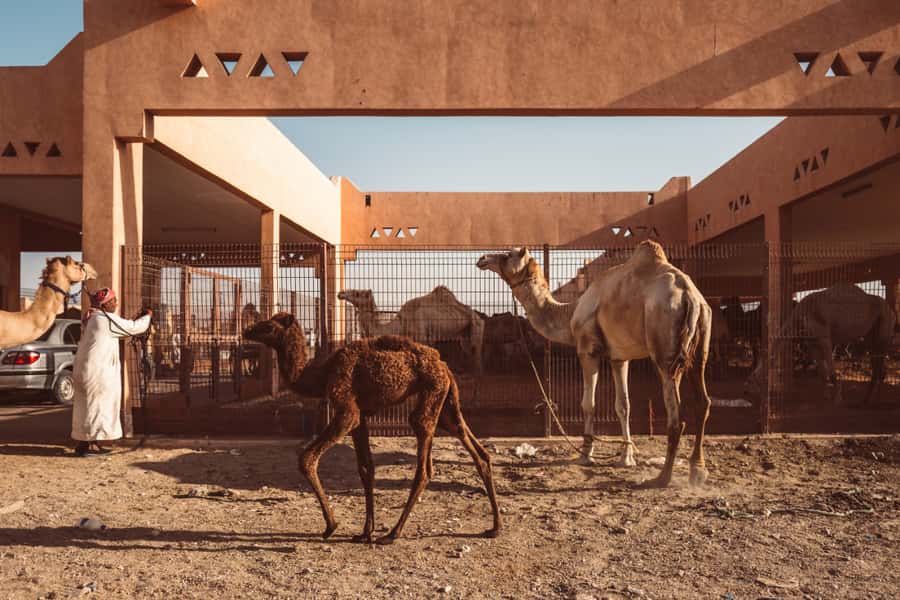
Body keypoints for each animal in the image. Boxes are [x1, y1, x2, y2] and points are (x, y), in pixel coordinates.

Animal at [243, 312, 501, 544]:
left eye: (268, 326)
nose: (247, 330)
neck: (322, 375)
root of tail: (444, 365)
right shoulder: (362, 417)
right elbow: (366, 469)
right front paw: (365, 531)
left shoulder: (347, 411)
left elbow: (306, 459)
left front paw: (331, 526)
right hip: (446, 401)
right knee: (473, 446)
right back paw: (494, 527)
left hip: (431, 393)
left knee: (425, 464)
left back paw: (393, 533)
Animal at [338, 286, 485, 373]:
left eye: (357, 293)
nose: (341, 293)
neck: (401, 323)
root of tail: (479, 316)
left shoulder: (422, 337)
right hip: (464, 336)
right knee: (469, 353)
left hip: (476, 328)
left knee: (477, 356)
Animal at [477, 241, 712, 488]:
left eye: (508, 255)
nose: (482, 258)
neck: (570, 313)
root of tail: (690, 297)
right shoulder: (619, 357)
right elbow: (623, 405)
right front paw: (626, 458)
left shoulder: (587, 350)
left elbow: (588, 403)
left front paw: (585, 454)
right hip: (701, 342)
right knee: (703, 402)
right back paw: (698, 470)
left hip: (664, 346)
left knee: (676, 414)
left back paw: (663, 477)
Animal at [745, 283, 897, 406]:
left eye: (751, 380)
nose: (747, 391)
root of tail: (891, 311)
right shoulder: (812, 343)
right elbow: (822, 371)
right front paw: (826, 396)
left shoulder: (824, 338)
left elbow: (831, 370)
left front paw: (838, 399)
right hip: (871, 338)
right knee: (880, 368)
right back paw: (870, 400)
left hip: (883, 332)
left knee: (879, 368)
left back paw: (870, 400)